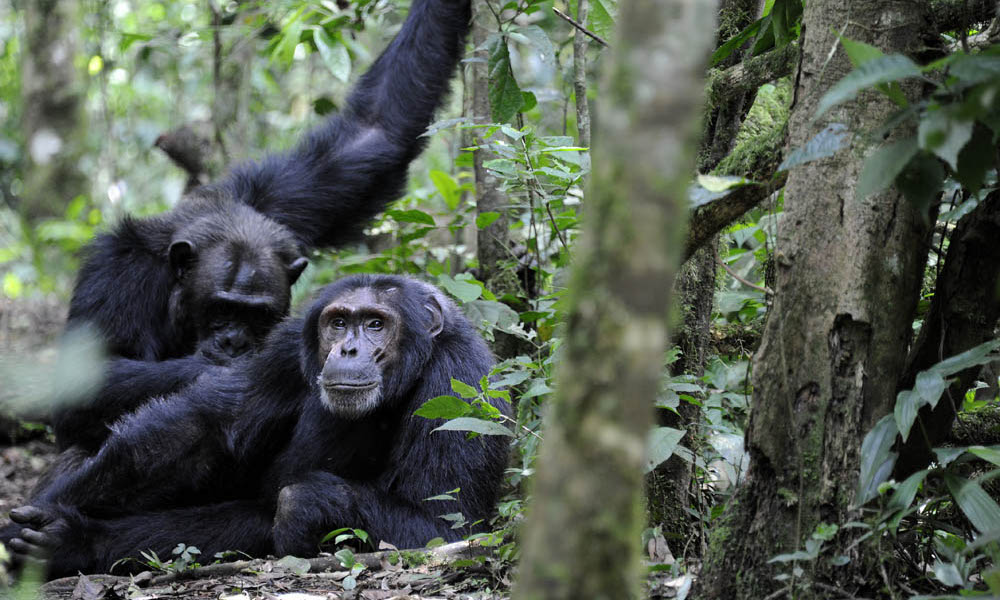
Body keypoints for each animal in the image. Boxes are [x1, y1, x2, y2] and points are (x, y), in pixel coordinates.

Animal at [3, 276, 512, 576]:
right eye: (338, 322)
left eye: (374, 323)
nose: (347, 349)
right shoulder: (285, 348)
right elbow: (205, 428)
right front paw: (34, 513)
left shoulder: (460, 384)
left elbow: (442, 523)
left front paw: (304, 503)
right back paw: (65, 540)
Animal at [52, 0, 474, 454]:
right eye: (220, 309)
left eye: (257, 315)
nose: (234, 341)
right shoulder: (117, 275)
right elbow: (84, 381)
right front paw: (225, 365)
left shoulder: (283, 197)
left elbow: (375, 129)